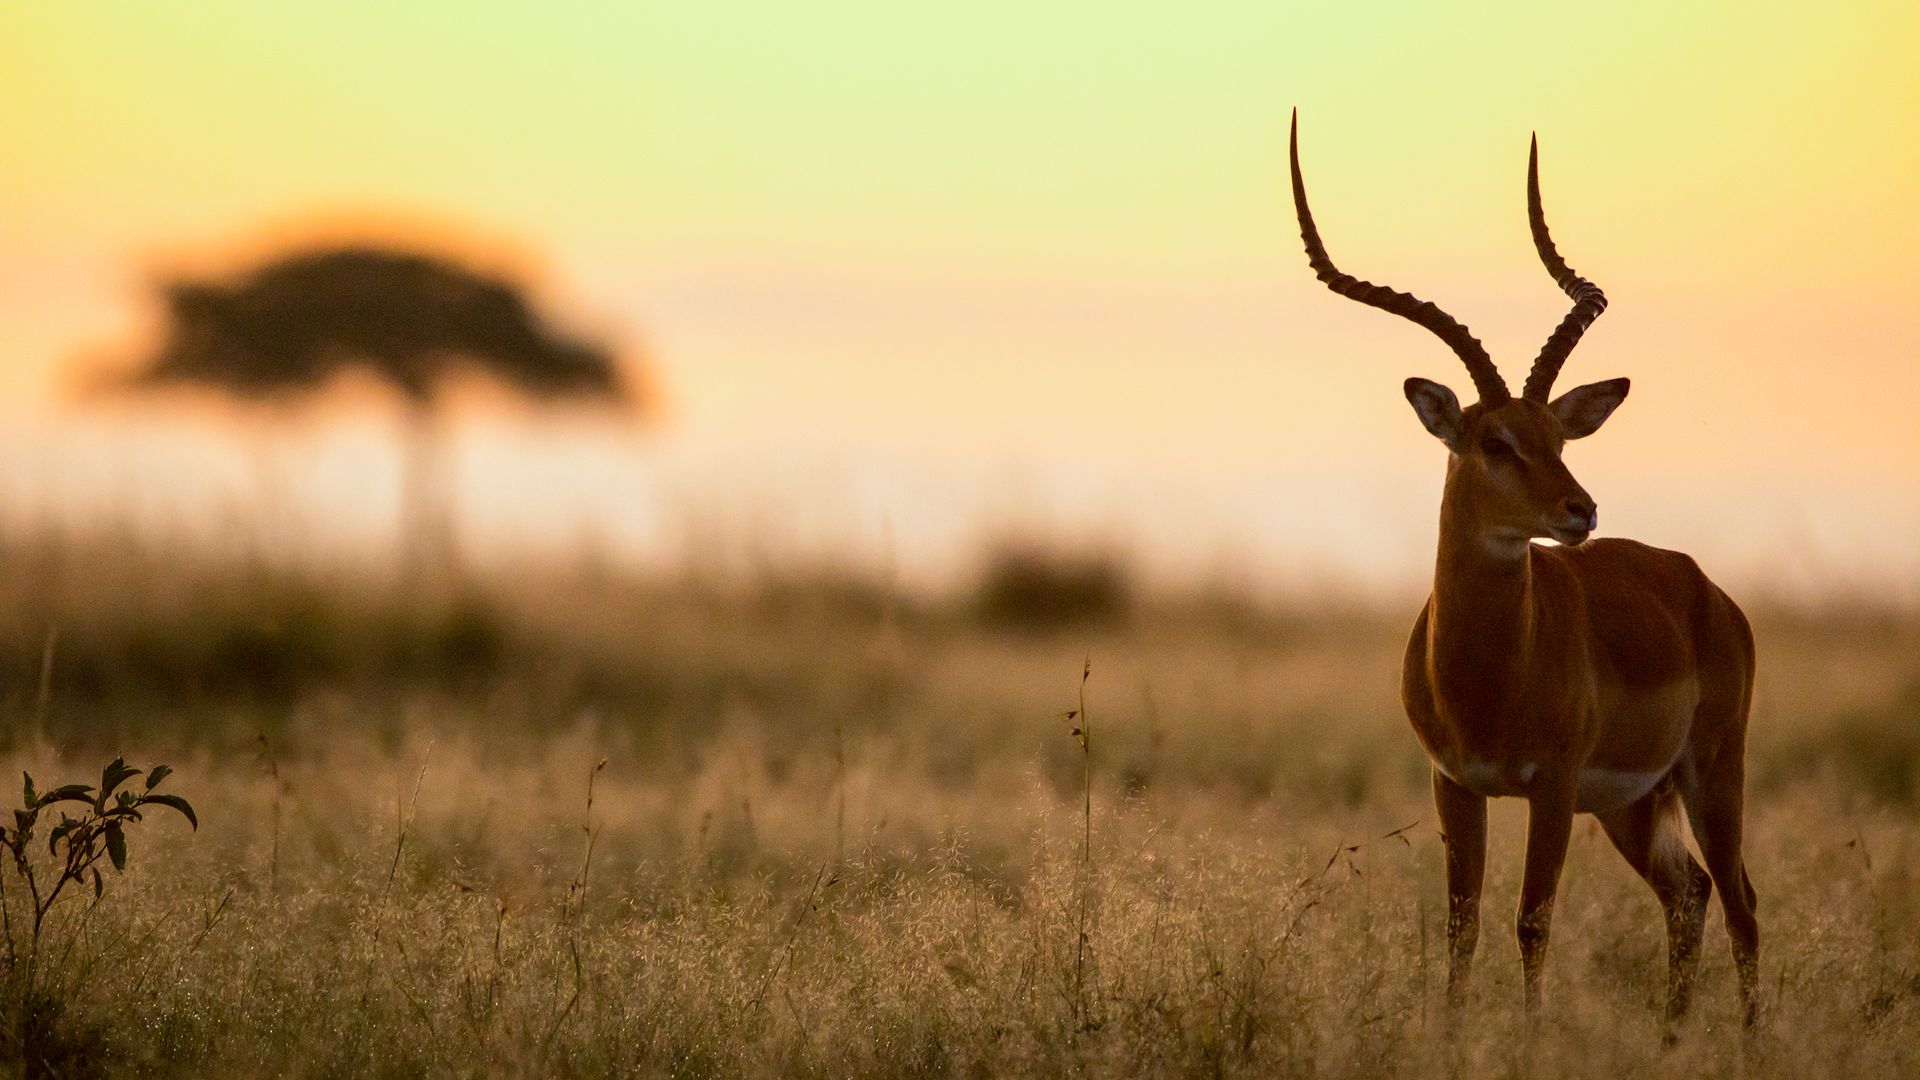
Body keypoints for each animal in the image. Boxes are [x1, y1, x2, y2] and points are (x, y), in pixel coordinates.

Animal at [1287, 111, 1758, 1035]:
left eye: (1558, 434)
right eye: (1495, 441)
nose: (1582, 511)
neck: (1488, 678)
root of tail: (1707, 591)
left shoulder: (1552, 787)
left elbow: (1532, 921)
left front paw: (1532, 1042)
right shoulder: (1456, 786)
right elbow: (1463, 924)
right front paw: (1451, 1037)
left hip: (1710, 771)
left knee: (1742, 905)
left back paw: (1751, 1045)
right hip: (1633, 802)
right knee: (1689, 896)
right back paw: (1669, 1041)